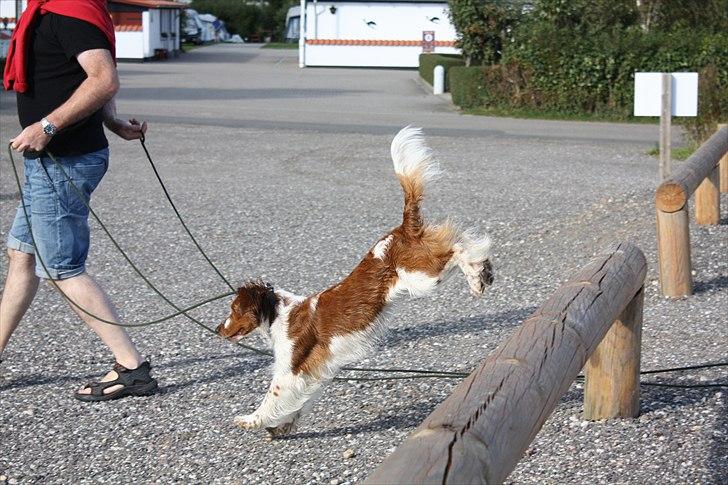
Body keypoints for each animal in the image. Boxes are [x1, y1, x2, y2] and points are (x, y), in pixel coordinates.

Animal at [213, 126, 492, 436]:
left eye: (233, 310)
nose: (217, 329)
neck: (278, 315)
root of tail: (402, 228)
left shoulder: (290, 370)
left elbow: (271, 398)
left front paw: (251, 420)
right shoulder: (317, 371)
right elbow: (302, 402)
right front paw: (282, 427)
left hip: (422, 277)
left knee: (461, 246)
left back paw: (477, 277)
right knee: (462, 238)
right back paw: (484, 272)